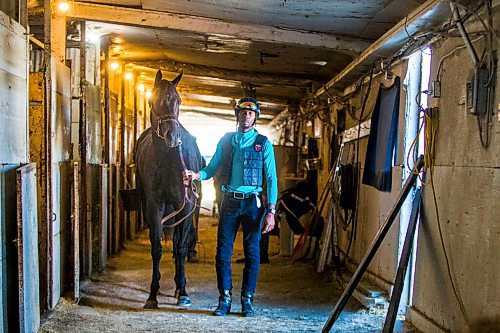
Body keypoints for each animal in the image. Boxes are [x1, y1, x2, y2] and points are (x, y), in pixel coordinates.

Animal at [135, 70, 203, 308]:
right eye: (153, 101)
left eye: (178, 101)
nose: (172, 137)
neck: (167, 161)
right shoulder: (154, 207)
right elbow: (156, 247)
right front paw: (152, 295)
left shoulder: (186, 207)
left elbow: (180, 248)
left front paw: (183, 292)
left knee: (178, 244)